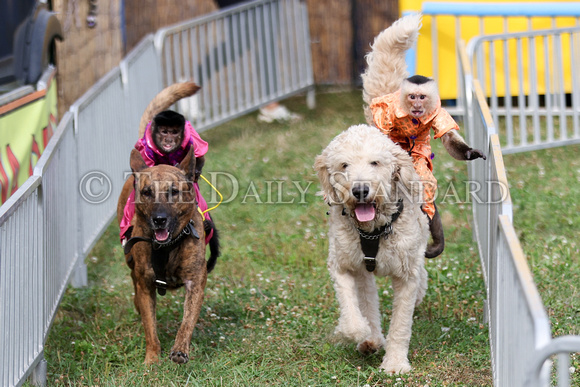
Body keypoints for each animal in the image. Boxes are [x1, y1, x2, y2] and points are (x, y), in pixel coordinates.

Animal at [117, 147, 215, 366]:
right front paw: (152, 359)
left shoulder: (195, 284)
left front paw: (179, 350)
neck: (166, 248)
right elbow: (150, 327)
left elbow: (187, 322)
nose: (159, 219)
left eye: (174, 191)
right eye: (147, 192)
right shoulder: (146, 285)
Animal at [314, 125, 428, 376]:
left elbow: (401, 324)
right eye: (344, 165)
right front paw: (362, 334)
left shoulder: (406, 275)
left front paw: (395, 363)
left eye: (375, 162)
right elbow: (353, 310)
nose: (360, 190)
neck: (373, 231)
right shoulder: (342, 264)